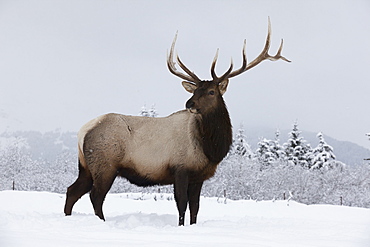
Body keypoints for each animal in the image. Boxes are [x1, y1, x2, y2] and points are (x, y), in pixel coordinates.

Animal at [63, 18, 290, 226]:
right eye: (195, 90)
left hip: (86, 166)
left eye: (211, 91)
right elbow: (182, 204)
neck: (210, 149)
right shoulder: (180, 168)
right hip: (105, 164)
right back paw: (101, 222)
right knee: (95, 196)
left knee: (72, 190)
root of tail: (84, 131)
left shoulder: (199, 176)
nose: (189, 103)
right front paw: (181, 226)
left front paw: (193, 225)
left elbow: (195, 206)